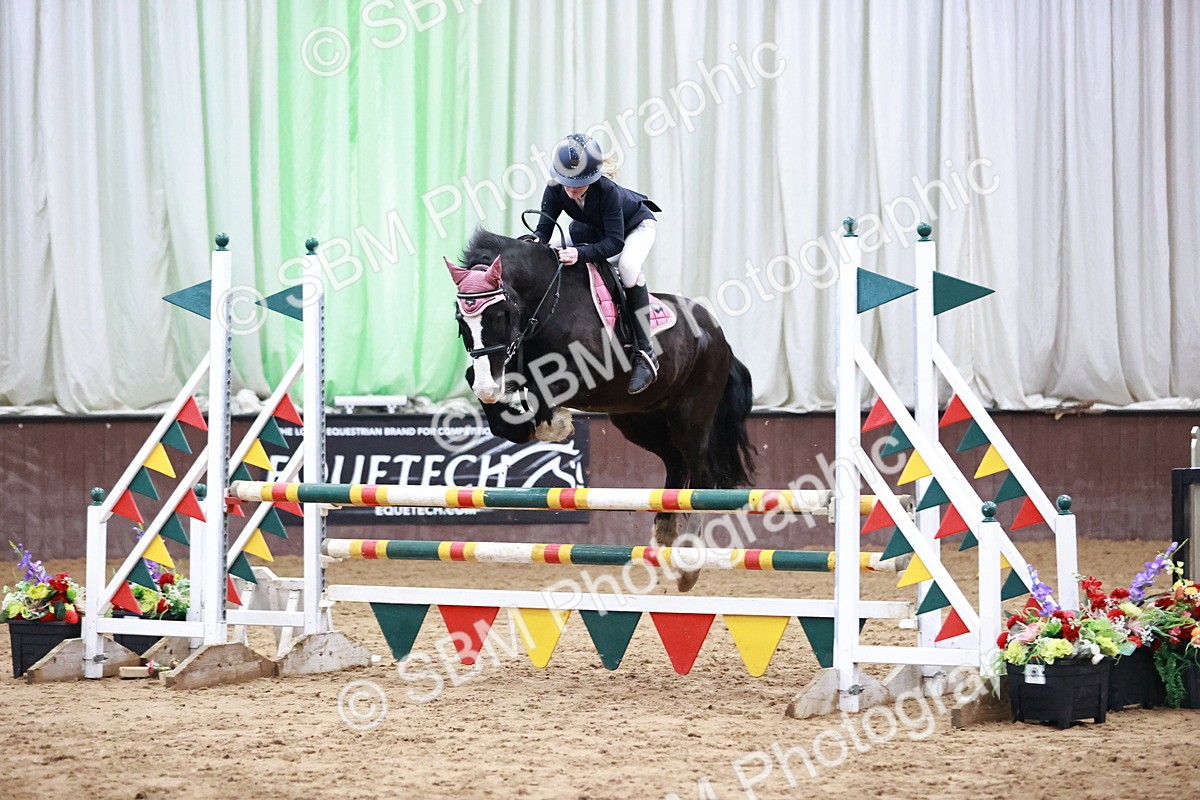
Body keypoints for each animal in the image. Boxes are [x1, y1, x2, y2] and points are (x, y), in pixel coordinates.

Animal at [445, 229, 755, 591]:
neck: (548, 306)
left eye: (499, 316)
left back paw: (688, 564)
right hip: (639, 420)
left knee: (701, 477)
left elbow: (542, 390)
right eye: (460, 319)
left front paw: (557, 423)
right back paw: (665, 536)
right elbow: (492, 391)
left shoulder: (584, 376)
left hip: (691, 417)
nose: (488, 388)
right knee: (675, 465)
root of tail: (718, 334)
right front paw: (522, 420)